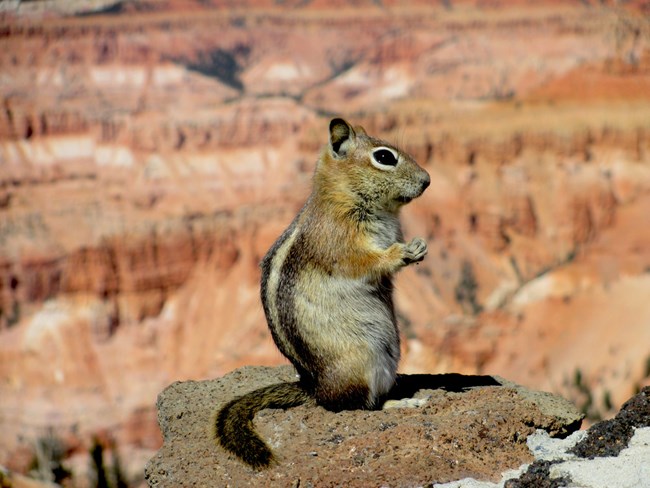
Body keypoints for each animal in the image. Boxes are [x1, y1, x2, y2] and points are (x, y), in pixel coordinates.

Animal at [214, 117, 430, 469]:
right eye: (385, 157)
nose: (427, 180)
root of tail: (315, 388)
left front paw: (420, 246)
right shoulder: (340, 240)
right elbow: (366, 262)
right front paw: (401, 253)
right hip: (362, 363)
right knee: (354, 406)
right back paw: (401, 404)